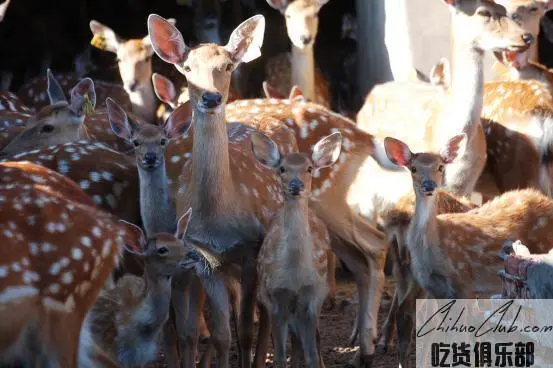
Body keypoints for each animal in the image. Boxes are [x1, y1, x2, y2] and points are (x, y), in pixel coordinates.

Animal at [251, 132, 340, 368]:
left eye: (309, 168)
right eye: (282, 168)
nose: (296, 185)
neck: (294, 276)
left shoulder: (313, 295)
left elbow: (311, 355)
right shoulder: (275, 296)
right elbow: (280, 357)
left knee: (310, 340)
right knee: (294, 341)